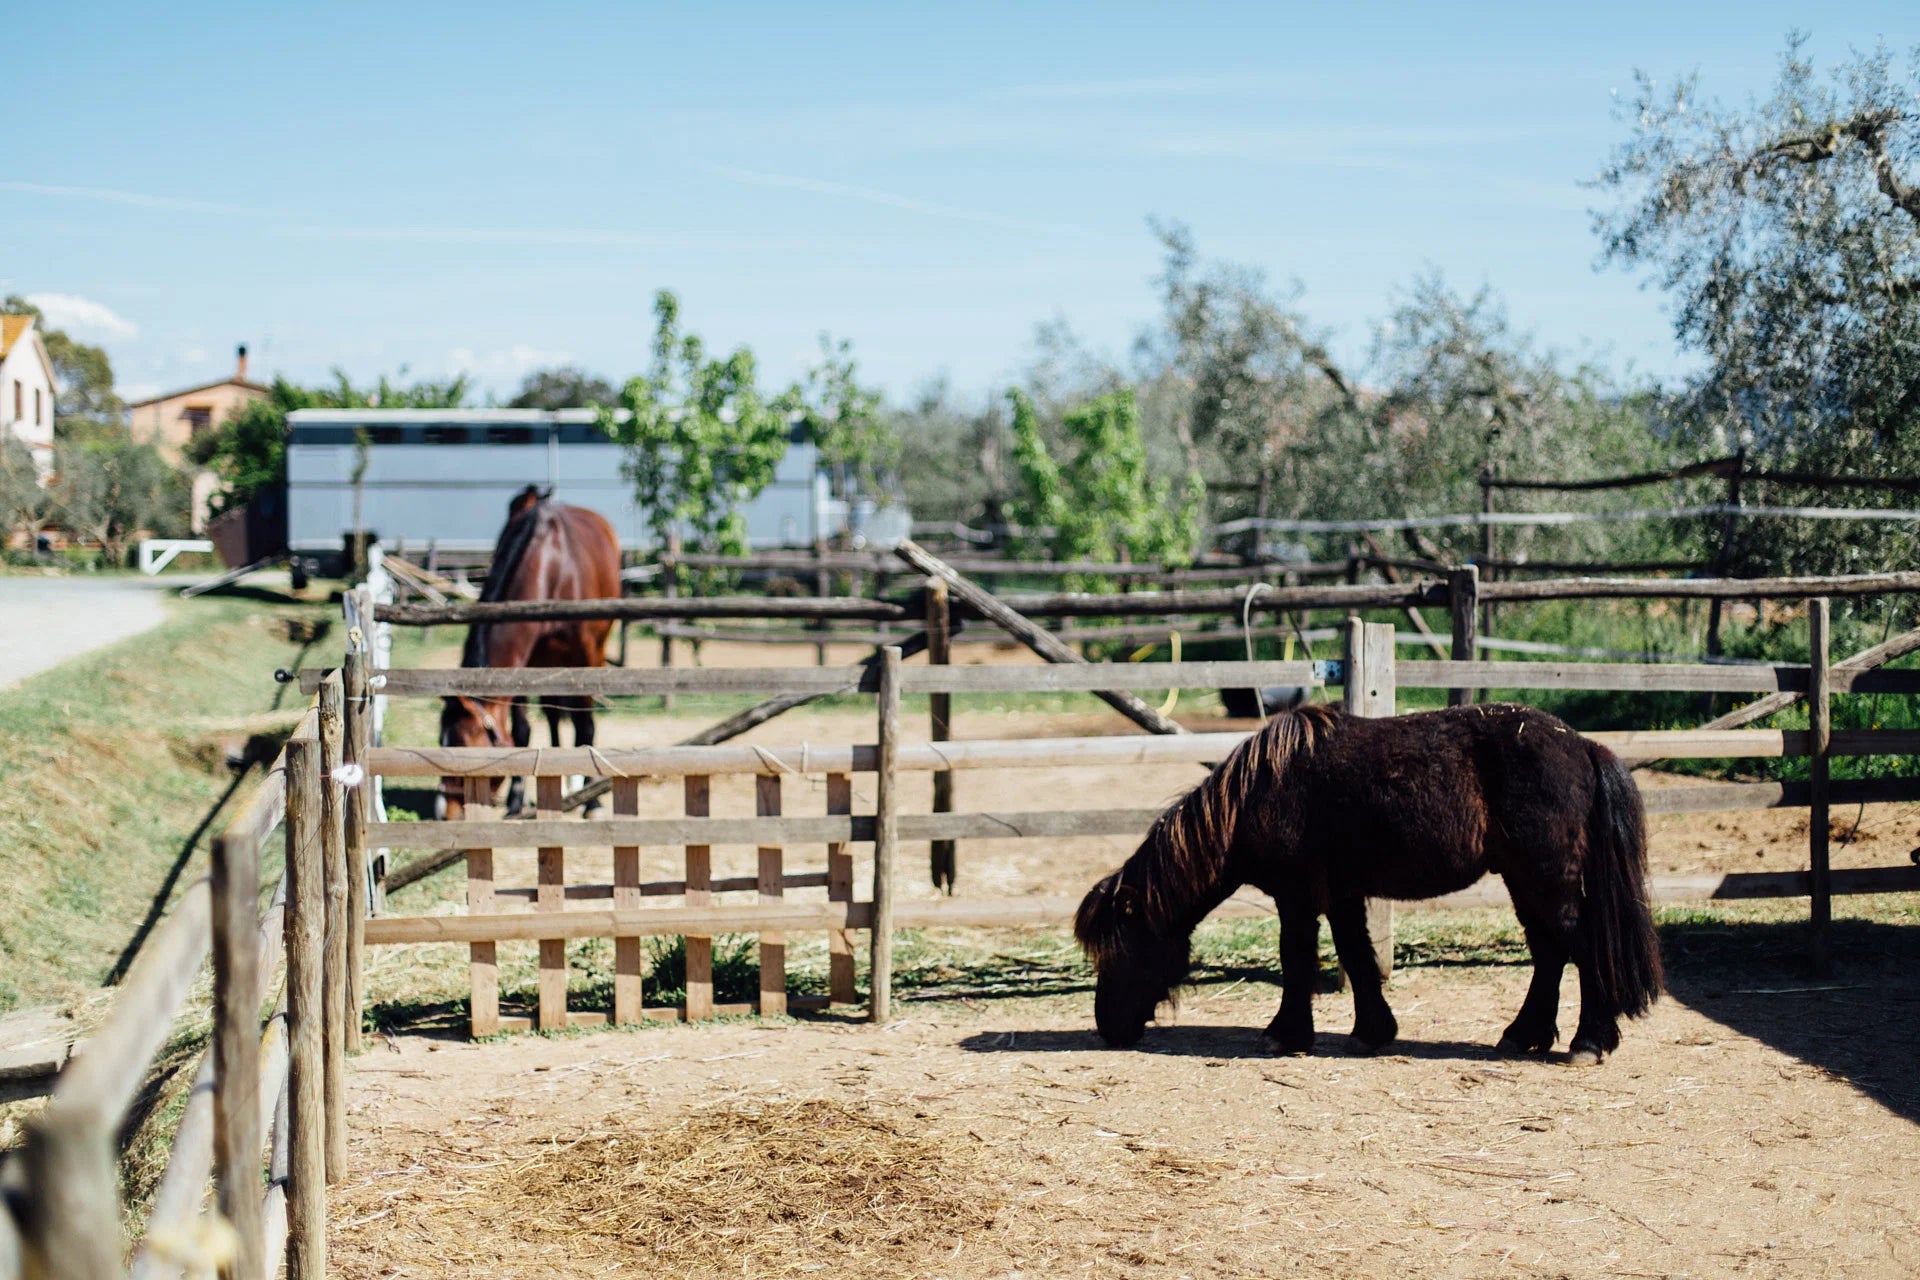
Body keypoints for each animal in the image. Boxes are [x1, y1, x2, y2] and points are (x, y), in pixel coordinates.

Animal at [439, 485, 618, 817]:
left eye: (462, 746)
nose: (446, 812)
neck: (552, 567)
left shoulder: (587, 655)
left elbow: (585, 725)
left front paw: (593, 801)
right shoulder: (526, 662)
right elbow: (522, 730)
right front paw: (515, 800)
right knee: (553, 714)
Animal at [1075, 706, 1658, 1066]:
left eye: (1122, 951)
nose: (1109, 1028)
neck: (1256, 797)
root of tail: (1583, 746)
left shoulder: (1297, 897)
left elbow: (1297, 959)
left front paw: (1285, 1035)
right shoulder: (1342, 895)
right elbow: (1357, 956)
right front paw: (1374, 1031)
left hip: (1547, 881)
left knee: (1580, 950)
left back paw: (1588, 1042)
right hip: (1524, 882)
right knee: (1550, 955)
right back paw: (1522, 1036)